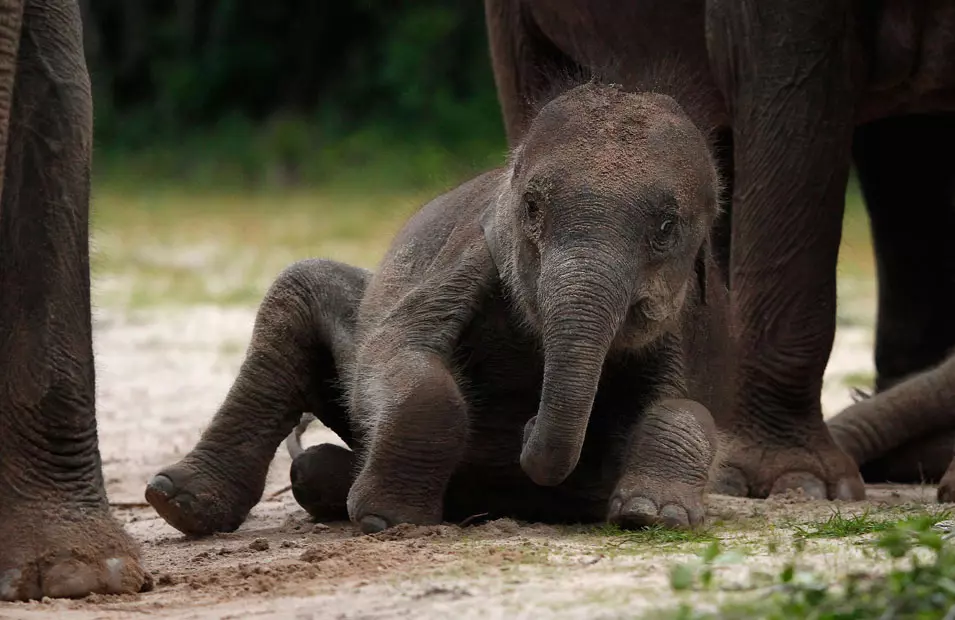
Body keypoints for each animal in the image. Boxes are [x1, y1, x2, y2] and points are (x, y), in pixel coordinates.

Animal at [146, 83, 732, 536]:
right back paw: (182, 504)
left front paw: (651, 515)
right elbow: (398, 354)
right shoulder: (471, 257)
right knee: (297, 293)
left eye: (666, 228)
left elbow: (683, 405)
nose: (526, 428)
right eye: (532, 208)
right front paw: (385, 520)